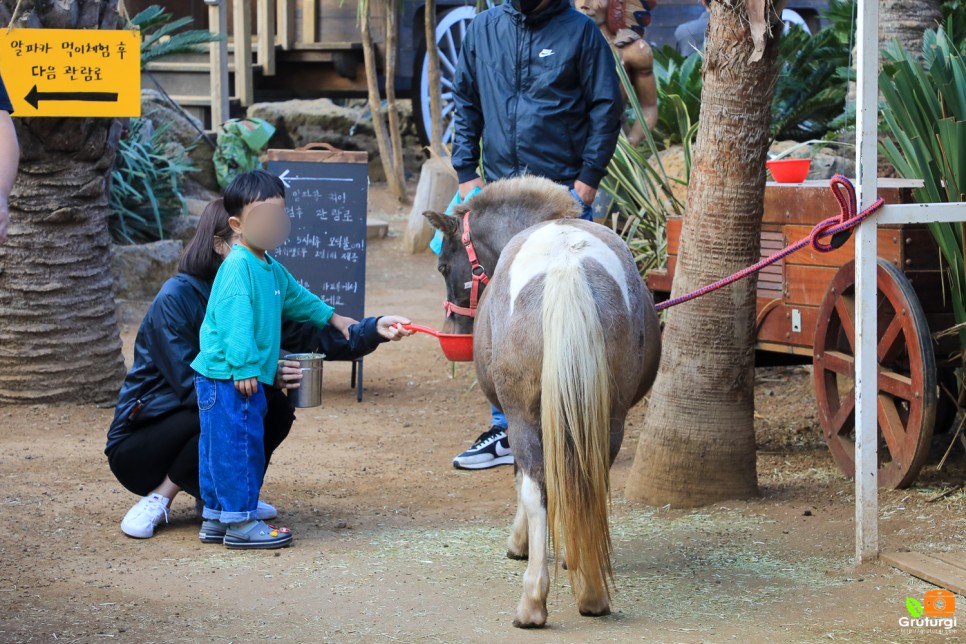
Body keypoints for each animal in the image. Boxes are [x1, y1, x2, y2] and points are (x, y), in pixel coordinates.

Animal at [426, 174, 660, 628]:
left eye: (444, 266)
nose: (452, 331)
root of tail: (565, 265)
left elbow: (525, 484)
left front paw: (520, 544)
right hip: (608, 419)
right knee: (586, 481)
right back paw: (591, 589)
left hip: (522, 417)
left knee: (537, 488)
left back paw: (534, 601)